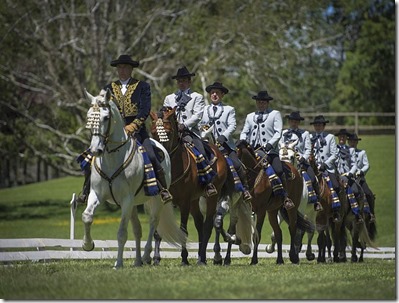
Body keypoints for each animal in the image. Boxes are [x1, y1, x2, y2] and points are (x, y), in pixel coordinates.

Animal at [82, 89, 188, 270]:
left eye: (105, 117)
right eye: (89, 116)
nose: (96, 150)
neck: (112, 158)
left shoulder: (126, 200)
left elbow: (121, 233)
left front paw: (118, 264)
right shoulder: (97, 194)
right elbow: (87, 216)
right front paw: (88, 245)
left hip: (156, 200)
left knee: (153, 224)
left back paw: (146, 256)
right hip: (133, 205)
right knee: (138, 229)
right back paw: (138, 261)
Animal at [150, 107, 230, 266]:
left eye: (168, 132)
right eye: (154, 132)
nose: (160, 157)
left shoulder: (184, 202)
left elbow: (183, 230)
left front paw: (184, 259)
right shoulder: (162, 201)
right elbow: (157, 231)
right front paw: (155, 259)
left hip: (211, 197)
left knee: (207, 226)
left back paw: (203, 259)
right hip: (194, 200)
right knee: (199, 224)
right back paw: (200, 256)